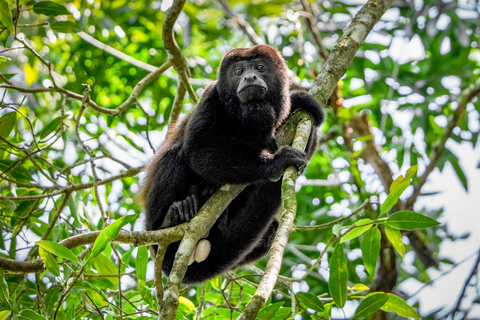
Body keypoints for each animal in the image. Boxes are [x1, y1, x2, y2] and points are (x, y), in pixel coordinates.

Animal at [141, 44, 324, 282]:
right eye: (238, 71)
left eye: (260, 67)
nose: (249, 77)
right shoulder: (211, 97)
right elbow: (199, 150)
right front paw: (276, 162)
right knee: (176, 157)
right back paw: (173, 216)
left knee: (271, 229)